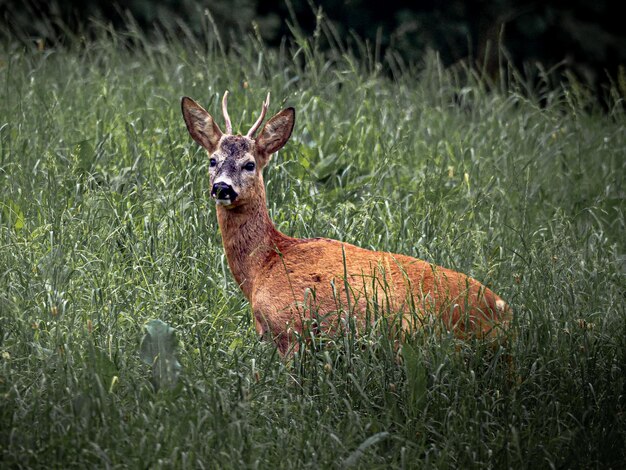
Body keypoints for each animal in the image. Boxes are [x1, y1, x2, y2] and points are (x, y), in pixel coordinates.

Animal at [182, 92, 512, 354]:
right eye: (212, 160)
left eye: (249, 164)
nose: (222, 188)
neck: (264, 264)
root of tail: (503, 309)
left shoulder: (291, 329)